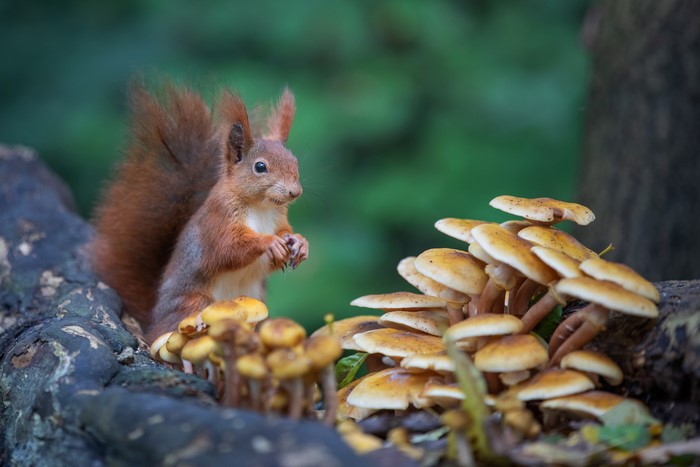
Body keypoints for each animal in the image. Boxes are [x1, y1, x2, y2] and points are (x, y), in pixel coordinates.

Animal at [91, 83, 308, 343]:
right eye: (260, 167)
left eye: (295, 161)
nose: (295, 192)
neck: (261, 207)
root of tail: (153, 323)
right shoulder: (218, 221)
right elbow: (228, 248)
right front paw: (269, 242)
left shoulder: (279, 220)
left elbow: (282, 238)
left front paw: (299, 242)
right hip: (195, 304)